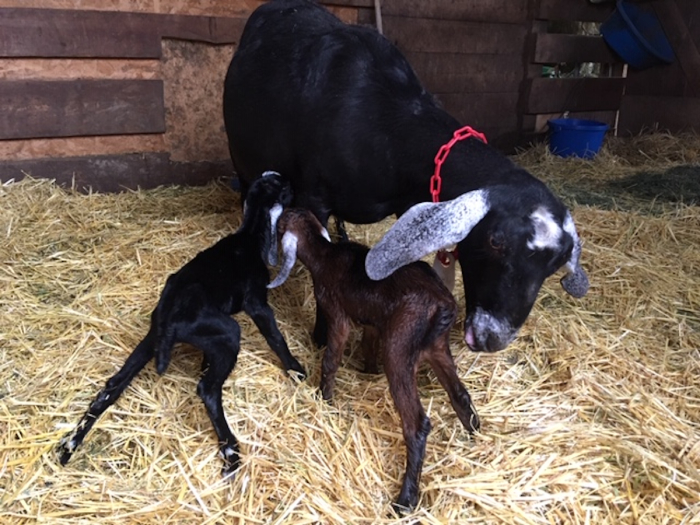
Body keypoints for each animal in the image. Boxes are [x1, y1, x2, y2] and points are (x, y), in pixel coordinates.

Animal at [57, 172, 306, 476]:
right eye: (284, 188)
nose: (293, 185)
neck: (250, 235)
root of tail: (168, 315)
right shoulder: (256, 302)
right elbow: (275, 336)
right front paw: (295, 369)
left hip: (150, 340)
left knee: (113, 385)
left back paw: (70, 445)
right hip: (229, 333)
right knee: (207, 389)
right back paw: (231, 452)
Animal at [223, 0, 589, 354]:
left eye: (555, 265)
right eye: (496, 240)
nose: (492, 340)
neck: (386, 126)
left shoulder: (406, 206)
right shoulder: (314, 197)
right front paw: (321, 335)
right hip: (240, 157)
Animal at [269, 208, 480, 511]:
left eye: (279, 226)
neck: (325, 255)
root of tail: (442, 305)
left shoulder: (338, 315)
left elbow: (331, 359)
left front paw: (324, 398)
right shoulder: (371, 322)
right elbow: (367, 346)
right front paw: (368, 372)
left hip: (399, 348)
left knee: (417, 425)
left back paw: (405, 501)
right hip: (437, 348)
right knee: (460, 396)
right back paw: (476, 440)